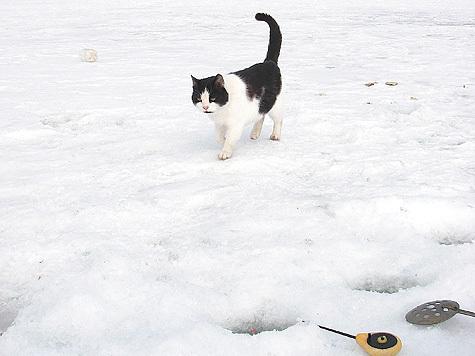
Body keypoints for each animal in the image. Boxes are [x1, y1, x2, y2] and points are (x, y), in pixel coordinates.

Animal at [192, 12, 282, 160]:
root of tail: (269, 62)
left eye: (212, 98)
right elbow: (218, 137)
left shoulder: (235, 124)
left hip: (275, 104)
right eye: (199, 99)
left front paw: (225, 152)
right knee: (261, 115)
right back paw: (255, 133)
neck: (221, 111)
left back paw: (275, 135)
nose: (205, 107)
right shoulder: (220, 123)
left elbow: (230, 139)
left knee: (278, 119)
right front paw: (223, 141)